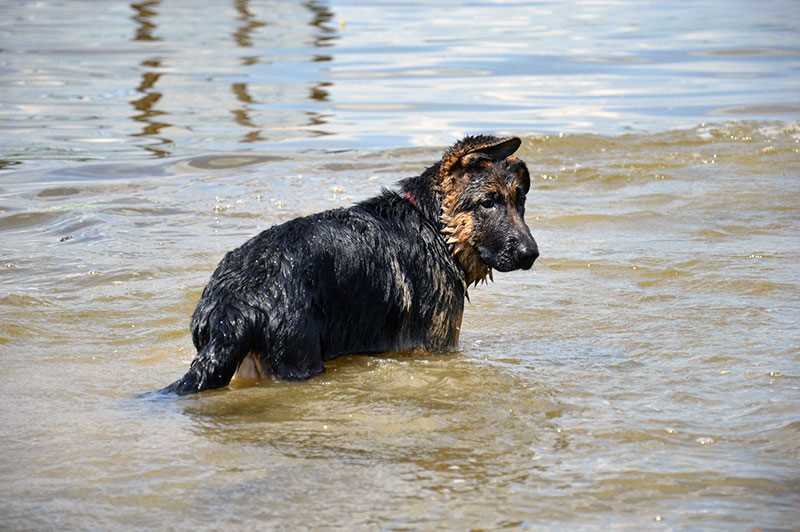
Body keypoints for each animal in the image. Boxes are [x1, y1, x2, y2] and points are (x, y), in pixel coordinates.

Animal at [158, 136, 536, 394]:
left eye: (520, 201)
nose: (531, 253)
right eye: (488, 202)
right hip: (300, 360)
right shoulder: (437, 344)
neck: (432, 223)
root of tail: (234, 306)